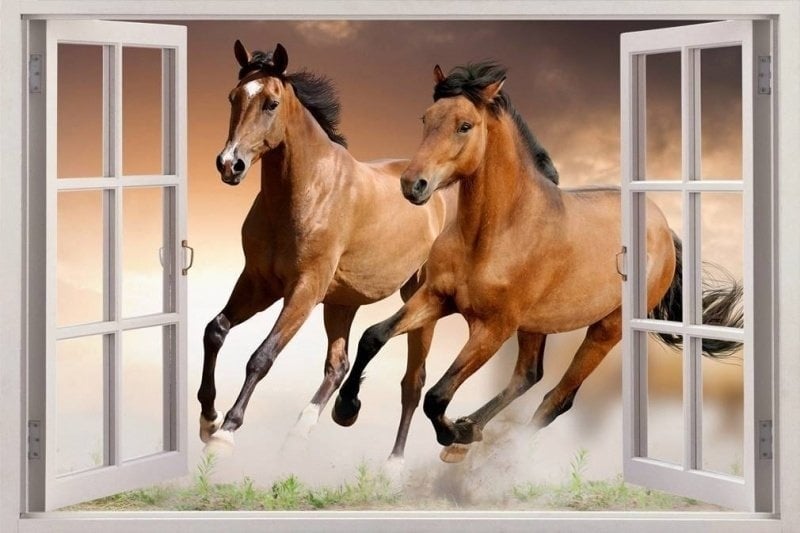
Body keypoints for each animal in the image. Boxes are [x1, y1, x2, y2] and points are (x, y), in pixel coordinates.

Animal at [198, 41, 454, 464]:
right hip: (341, 303)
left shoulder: (304, 290)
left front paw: (226, 432)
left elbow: (262, 356)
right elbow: (215, 330)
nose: (229, 164)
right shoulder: (258, 283)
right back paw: (308, 428)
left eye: (270, 103)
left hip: (418, 298)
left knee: (412, 383)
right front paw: (207, 417)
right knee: (338, 365)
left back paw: (393, 464)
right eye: (233, 97)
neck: (306, 191)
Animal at [332, 62, 743, 463]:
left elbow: (437, 396)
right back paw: (471, 432)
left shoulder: (492, 329)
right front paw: (346, 408)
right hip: (535, 324)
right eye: (425, 118)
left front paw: (454, 432)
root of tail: (663, 228)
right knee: (528, 375)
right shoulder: (436, 297)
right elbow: (373, 337)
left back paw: (482, 450)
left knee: (556, 399)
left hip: (606, 329)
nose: (412, 184)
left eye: (465, 125)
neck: (494, 233)